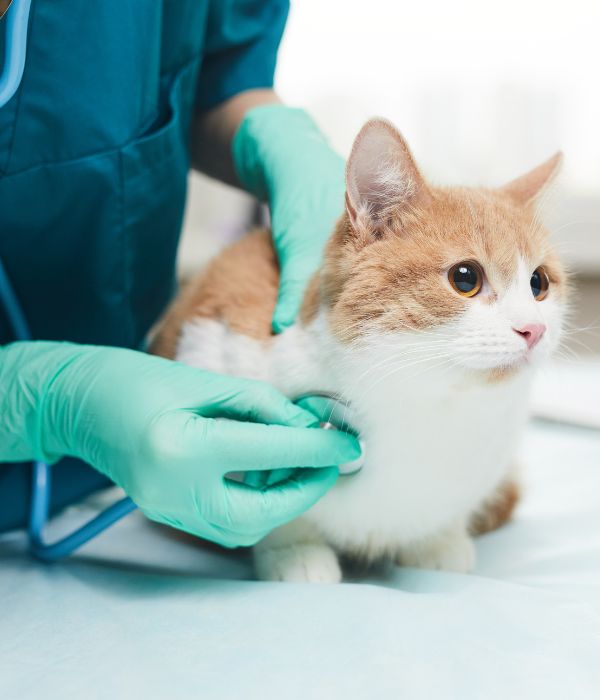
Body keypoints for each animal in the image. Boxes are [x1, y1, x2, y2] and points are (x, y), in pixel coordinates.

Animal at [151, 117, 568, 584]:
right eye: (465, 278)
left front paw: (437, 542)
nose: (534, 329)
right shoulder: (215, 346)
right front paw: (294, 551)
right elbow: (271, 510)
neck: (423, 402)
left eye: (538, 283)